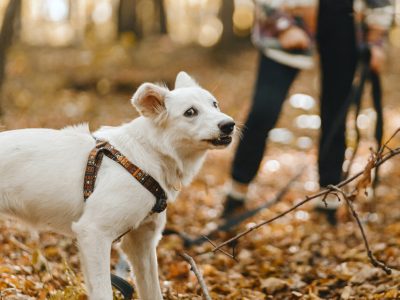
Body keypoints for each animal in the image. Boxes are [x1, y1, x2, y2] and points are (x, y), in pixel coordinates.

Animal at [0, 72, 236, 300]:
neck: (147, 156)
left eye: (214, 104)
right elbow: (103, 292)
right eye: (190, 112)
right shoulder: (93, 233)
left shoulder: (141, 242)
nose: (229, 124)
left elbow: (153, 292)